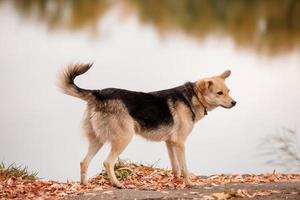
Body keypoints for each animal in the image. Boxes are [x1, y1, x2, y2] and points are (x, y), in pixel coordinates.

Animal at [58, 63, 237, 188]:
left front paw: (175, 181)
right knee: (108, 162)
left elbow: (176, 167)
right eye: (219, 93)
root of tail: (99, 93)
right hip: (123, 138)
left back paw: (85, 185)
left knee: (84, 162)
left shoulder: (170, 143)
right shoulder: (180, 143)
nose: (234, 103)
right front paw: (189, 183)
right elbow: (184, 167)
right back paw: (117, 184)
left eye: (228, 91)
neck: (192, 97)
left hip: (97, 140)